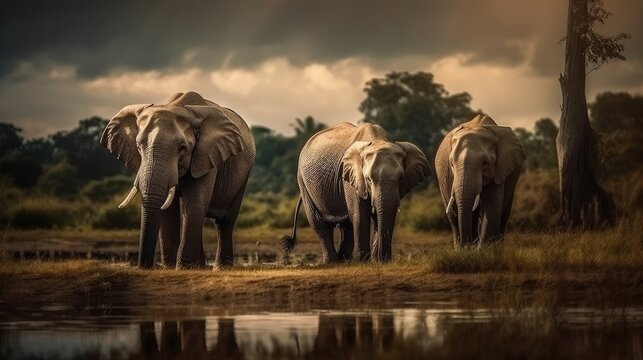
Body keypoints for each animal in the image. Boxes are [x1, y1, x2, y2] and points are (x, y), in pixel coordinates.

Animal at [99, 91, 255, 268]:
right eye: (138, 146)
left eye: (182, 148)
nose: (144, 266)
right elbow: (168, 209)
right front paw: (171, 268)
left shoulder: (206, 156)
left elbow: (194, 204)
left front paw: (184, 268)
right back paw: (200, 267)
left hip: (243, 173)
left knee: (224, 222)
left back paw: (220, 267)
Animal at [284, 123, 430, 262]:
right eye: (368, 179)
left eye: (400, 178)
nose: (384, 259)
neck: (376, 140)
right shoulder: (350, 178)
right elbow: (360, 214)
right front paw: (364, 261)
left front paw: (376, 261)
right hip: (303, 182)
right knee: (319, 223)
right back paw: (333, 262)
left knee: (346, 226)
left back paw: (343, 260)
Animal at [436, 115, 524, 248]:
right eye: (451, 164)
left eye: (485, 164)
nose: (466, 245)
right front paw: (469, 250)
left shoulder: (500, 168)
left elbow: (492, 207)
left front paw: (485, 250)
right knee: (454, 216)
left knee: (503, 214)